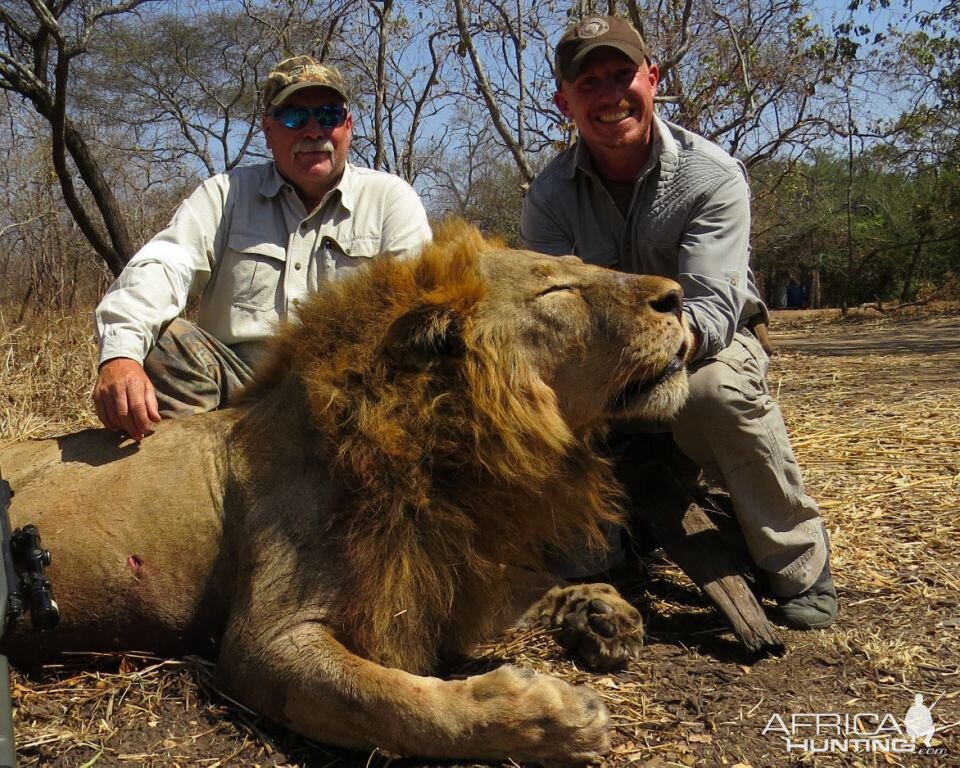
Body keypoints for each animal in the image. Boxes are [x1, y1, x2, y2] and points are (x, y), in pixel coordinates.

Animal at [0, 220, 688, 760]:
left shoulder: (448, 576)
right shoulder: (262, 644)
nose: (678, 296)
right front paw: (550, 717)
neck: (445, 454)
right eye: (557, 289)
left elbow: (528, 588)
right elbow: (398, 704)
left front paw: (600, 611)